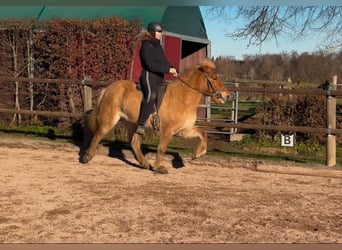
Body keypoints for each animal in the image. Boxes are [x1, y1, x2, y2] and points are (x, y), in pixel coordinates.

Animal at [81, 58, 228, 174]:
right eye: (214, 78)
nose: (227, 95)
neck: (183, 97)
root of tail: (109, 87)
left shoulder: (183, 130)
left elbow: (203, 134)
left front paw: (197, 154)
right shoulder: (167, 130)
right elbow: (162, 148)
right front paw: (160, 167)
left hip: (132, 123)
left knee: (134, 142)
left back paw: (145, 164)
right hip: (110, 119)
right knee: (98, 135)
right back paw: (87, 157)